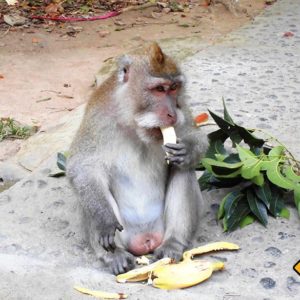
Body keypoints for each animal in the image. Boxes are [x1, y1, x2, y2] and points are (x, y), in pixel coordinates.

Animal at [67, 41, 207, 274]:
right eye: (159, 89)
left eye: (174, 88)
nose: (171, 113)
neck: (133, 121)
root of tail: (146, 239)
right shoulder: (97, 117)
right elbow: (83, 167)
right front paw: (104, 218)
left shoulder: (183, 109)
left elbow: (198, 138)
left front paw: (187, 149)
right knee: (86, 190)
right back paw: (114, 256)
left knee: (183, 169)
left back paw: (173, 243)